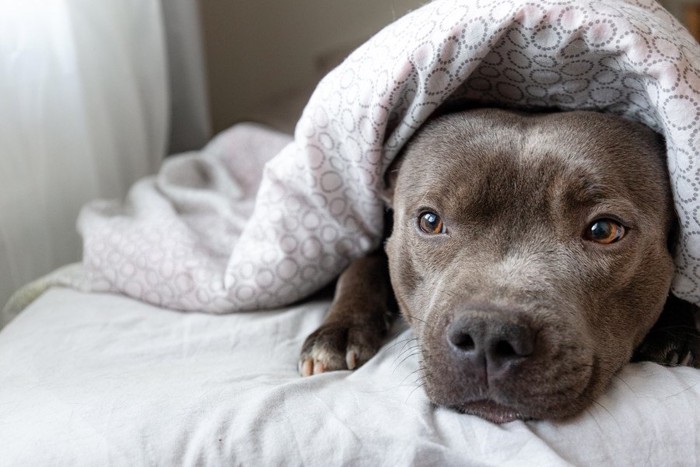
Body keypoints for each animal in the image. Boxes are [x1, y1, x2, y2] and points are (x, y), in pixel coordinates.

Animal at [296, 109, 700, 424]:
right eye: (430, 221)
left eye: (604, 230)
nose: (488, 336)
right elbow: (361, 261)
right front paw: (340, 329)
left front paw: (680, 327)